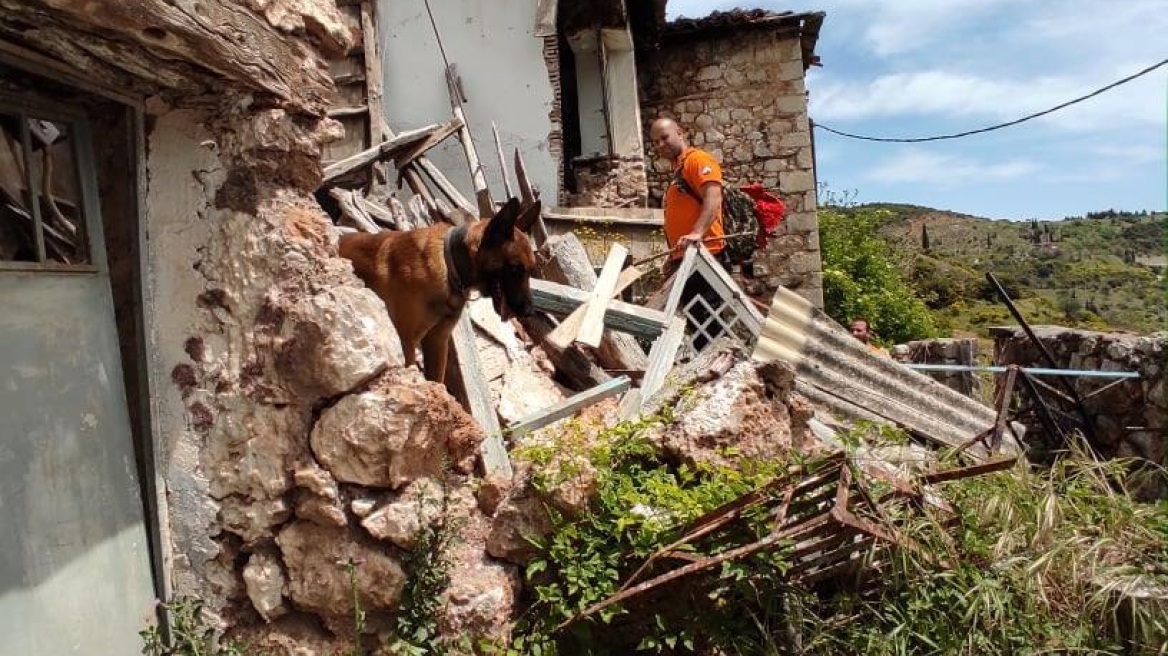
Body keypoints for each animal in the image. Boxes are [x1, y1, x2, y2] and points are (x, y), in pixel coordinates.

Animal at [338, 196, 537, 385]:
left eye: (530, 270)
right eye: (515, 269)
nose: (529, 312)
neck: (451, 266)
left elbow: (437, 381)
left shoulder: (437, 342)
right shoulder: (406, 342)